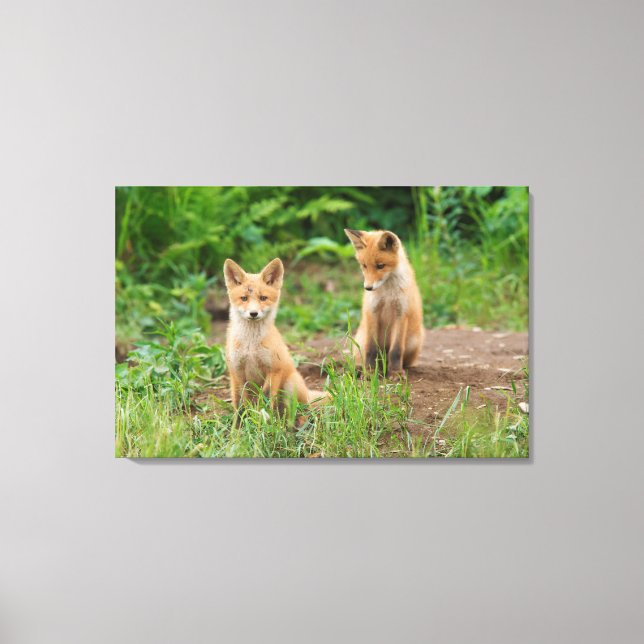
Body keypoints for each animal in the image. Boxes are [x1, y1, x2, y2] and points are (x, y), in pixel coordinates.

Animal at [223, 257, 327, 420]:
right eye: (244, 298)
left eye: (263, 298)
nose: (253, 313)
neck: (251, 345)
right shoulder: (236, 371)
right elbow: (240, 404)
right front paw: (239, 425)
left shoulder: (274, 369)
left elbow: (266, 399)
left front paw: (265, 421)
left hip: (291, 386)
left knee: (301, 410)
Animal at [344, 228, 424, 374]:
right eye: (364, 266)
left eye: (380, 266)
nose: (368, 288)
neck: (387, 294)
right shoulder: (372, 311)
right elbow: (371, 349)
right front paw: (370, 372)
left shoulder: (401, 314)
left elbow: (396, 350)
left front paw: (396, 373)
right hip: (360, 340)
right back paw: (361, 368)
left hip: (413, 342)